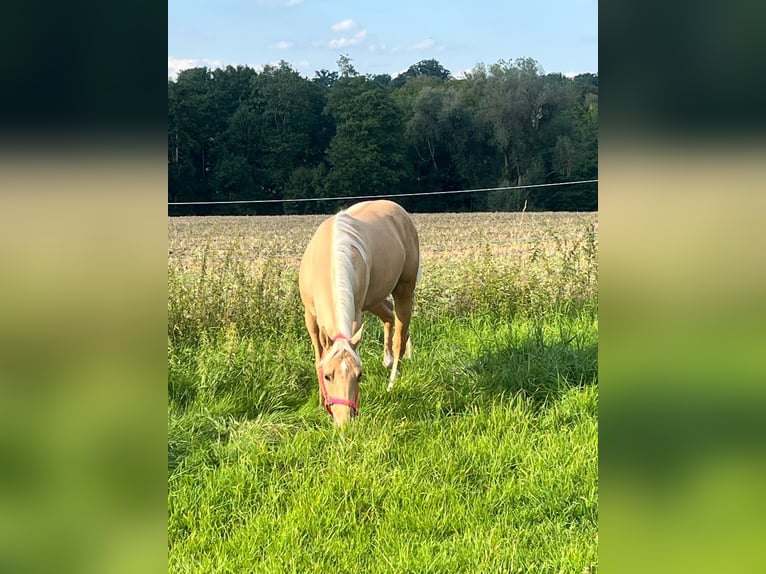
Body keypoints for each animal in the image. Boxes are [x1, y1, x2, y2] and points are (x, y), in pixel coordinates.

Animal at [298, 200, 421, 427]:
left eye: (360, 375)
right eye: (328, 376)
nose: (344, 422)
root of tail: (398, 210)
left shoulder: (355, 314)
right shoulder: (310, 317)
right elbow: (318, 356)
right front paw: (320, 403)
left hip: (404, 290)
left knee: (400, 335)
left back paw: (392, 381)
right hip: (375, 299)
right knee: (388, 316)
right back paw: (387, 360)